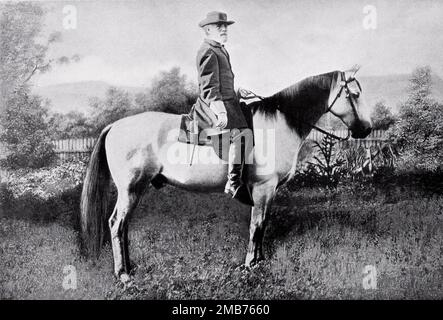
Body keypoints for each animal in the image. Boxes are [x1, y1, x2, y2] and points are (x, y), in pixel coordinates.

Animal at [80, 66, 372, 282]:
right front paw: (250, 265)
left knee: (124, 226)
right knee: (116, 224)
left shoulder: (268, 192)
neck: (279, 124)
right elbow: (257, 225)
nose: (366, 129)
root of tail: (115, 126)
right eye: (355, 94)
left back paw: (130, 268)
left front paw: (259, 261)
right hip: (130, 189)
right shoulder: (264, 188)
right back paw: (123, 274)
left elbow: (262, 225)